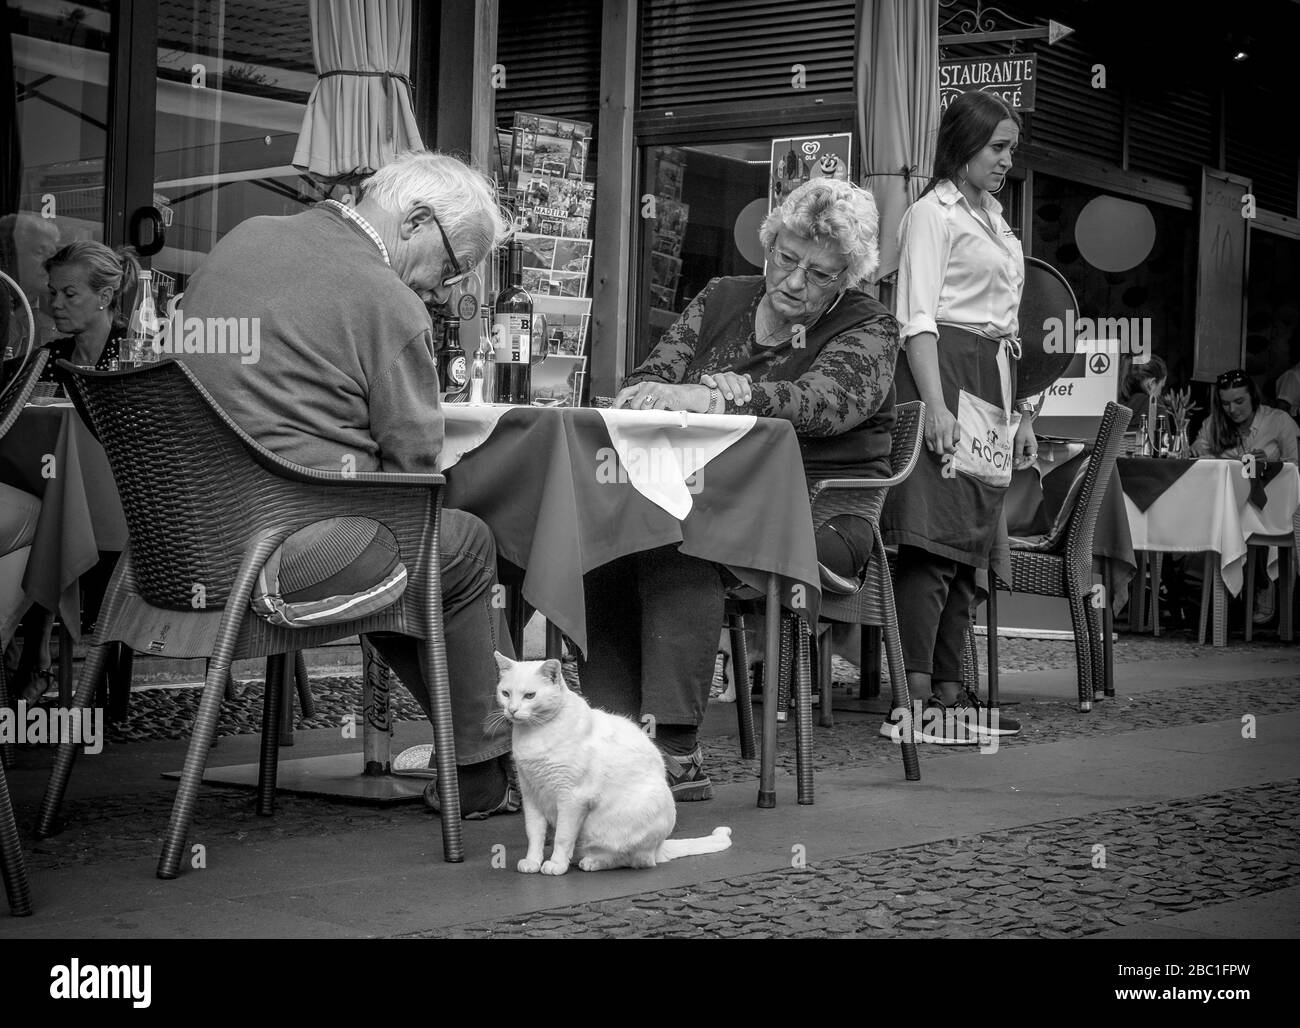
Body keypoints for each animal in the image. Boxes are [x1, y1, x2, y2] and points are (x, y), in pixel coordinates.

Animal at [491, 652, 733, 878]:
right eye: (506, 694)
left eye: (530, 695)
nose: (512, 710)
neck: (535, 733)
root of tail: (659, 846)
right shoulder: (531, 794)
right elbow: (534, 834)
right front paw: (532, 861)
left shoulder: (572, 798)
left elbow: (562, 836)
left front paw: (556, 864)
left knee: (633, 860)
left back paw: (591, 862)